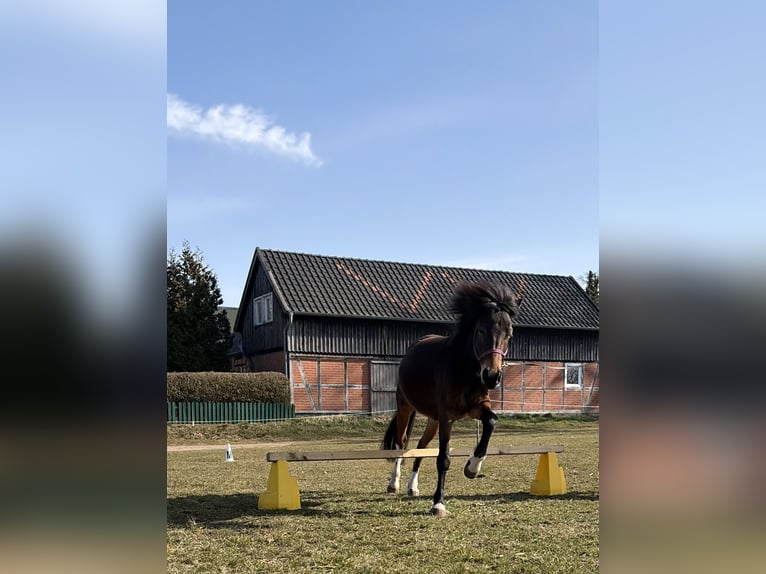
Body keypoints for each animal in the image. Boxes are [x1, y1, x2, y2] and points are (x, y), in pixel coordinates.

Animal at [382, 281, 522, 517]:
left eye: (509, 334)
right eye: (481, 330)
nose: (492, 377)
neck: (464, 370)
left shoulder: (477, 407)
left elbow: (491, 421)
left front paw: (472, 467)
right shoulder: (447, 416)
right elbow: (443, 458)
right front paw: (438, 503)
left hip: (433, 419)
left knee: (420, 446)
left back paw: (412, 486)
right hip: (406, 408)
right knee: (401, 442)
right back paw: (394, 483)